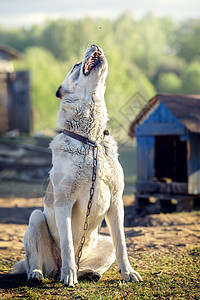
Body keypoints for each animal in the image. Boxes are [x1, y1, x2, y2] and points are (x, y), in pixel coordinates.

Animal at [13, 44, 142, 286]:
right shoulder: (64, 201)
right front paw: (69, 275)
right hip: (35, 219)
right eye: (75, 65)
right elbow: (67, 244)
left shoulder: (116, 202)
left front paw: (128, 272)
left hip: (103, 243)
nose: (95, 45)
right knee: (35, 259)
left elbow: (122, 244)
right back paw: (39, 274)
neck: (90, 141)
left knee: (101, 253)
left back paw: (90, 273)